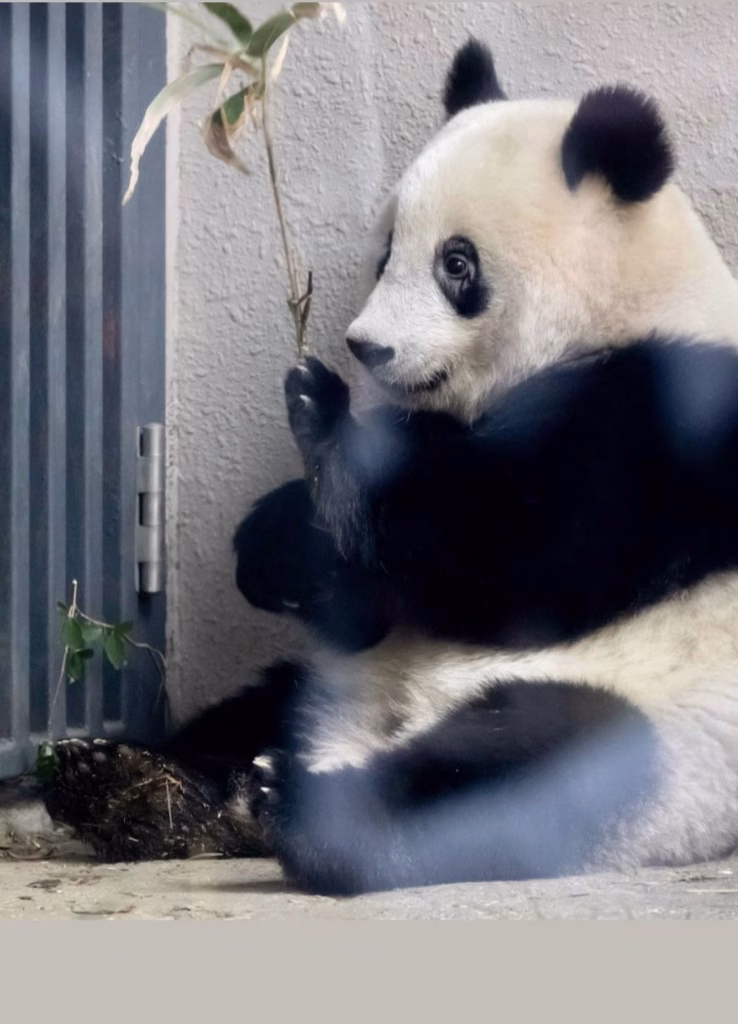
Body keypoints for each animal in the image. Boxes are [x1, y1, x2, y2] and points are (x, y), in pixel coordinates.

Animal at [46, 39, 738, 892]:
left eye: (457, 264)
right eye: (384, 254)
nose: (366, 347)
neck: (632, 304)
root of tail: (365, 734)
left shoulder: (671, 415)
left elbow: (519, 554)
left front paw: (323, 419)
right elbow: (375, 588)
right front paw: (274, 543)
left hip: (665, 731)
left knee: (528, 763)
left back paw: (306, 813)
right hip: (325, 682)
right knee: (252, 709)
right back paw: (133, 784)